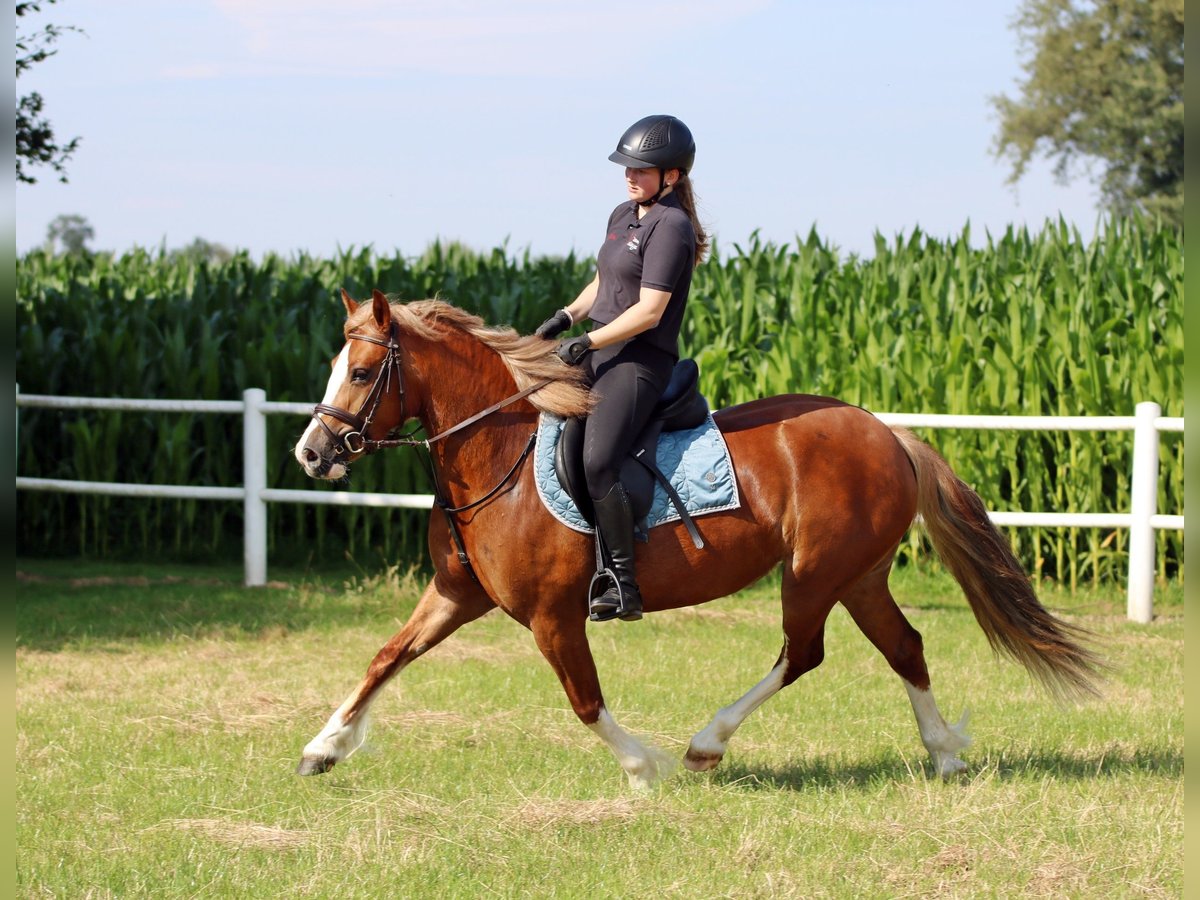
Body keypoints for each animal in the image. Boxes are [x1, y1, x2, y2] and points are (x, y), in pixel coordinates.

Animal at [288, 289, 1099, 787]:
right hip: (859, 576)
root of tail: (887, 433)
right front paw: (322, 748)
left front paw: (642, 767)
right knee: (904, 647)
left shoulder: (553, 617)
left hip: (814, 575)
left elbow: (585, 700)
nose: (311, 454)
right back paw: (943, 756)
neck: (499, 451)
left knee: (803, 653)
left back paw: (707, 744)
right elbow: (386, 657)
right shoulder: (456, 595)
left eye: (361, 371)